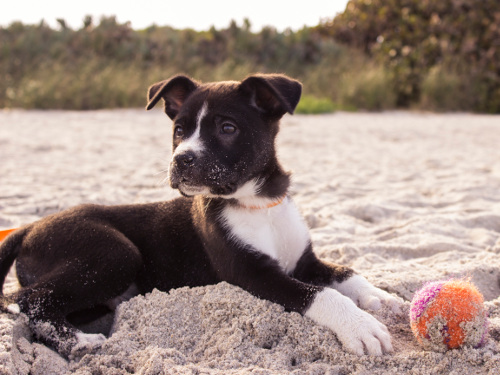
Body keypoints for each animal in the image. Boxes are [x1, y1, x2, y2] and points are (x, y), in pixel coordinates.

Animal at [0, 74, 402, 358]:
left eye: (228, 128)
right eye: (179, 131)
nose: (181, 160)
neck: (257, 204)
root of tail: (30, 227)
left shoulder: (304, 260)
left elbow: (346, 272)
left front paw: (380, 297)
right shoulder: (251, 273)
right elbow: (319, 294)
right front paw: (360, 326)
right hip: (114, 253)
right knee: (27, 301)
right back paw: (79, 343)